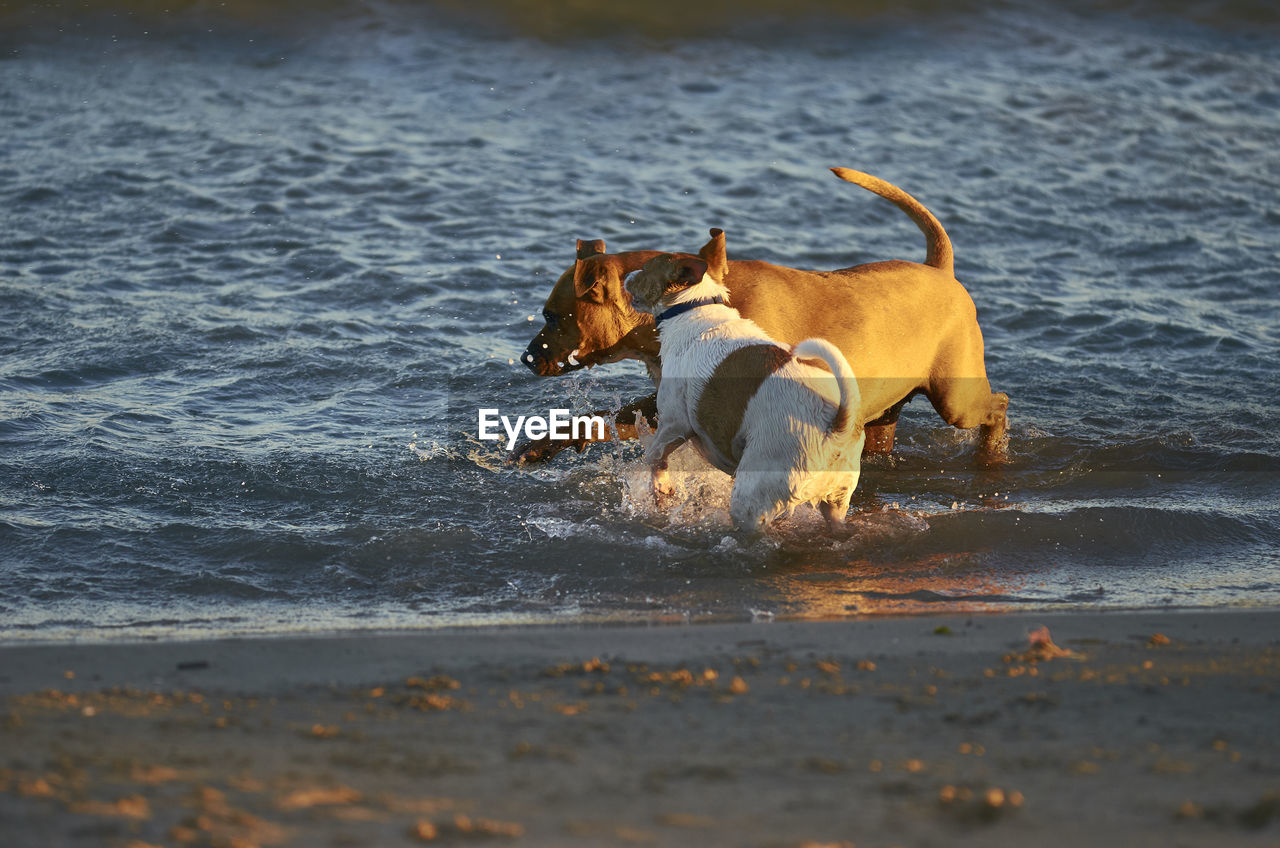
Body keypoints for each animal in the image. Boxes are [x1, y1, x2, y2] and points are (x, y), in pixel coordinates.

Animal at [512, 167, 1008, 466]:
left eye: (551, 316)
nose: (525, 359)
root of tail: (939, 269)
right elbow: (600, 417)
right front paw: (543, 443)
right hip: (883, 415)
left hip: (956, 400)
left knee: (998, 406)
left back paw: (992, 455)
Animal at [624, 252, 865, 535]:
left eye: (645, 267)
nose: (626, 276)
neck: (693, 307)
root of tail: (836, 426)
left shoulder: (676, 422)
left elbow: (654, 455)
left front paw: (661, 487)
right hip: (836, 501)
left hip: (752, 494)